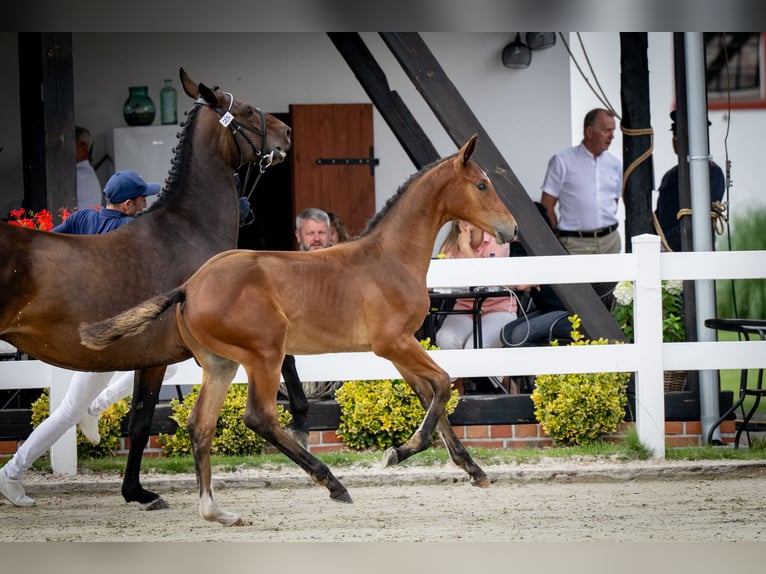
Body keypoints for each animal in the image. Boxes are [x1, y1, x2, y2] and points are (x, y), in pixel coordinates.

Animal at [0, 68, 291, 510]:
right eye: (243, 109)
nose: (286, 132)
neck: (185, 229)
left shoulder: (149, 355)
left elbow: (139, 417)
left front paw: (132, 488)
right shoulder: (165, 356)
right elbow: (141, 421)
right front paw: (138, 492)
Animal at [80, 135, 517, 527]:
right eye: (482, 185)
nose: (511, 229)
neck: (388, 257)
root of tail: (189, 286)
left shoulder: (400, 348)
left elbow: (431, 395)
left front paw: (472, 469)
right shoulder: (392, 343)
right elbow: (442, 385)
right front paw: (399, 451)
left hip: (220, 363)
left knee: (200, 426)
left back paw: (216, 511)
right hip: (265, 355)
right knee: (260, 417)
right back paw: (332, 483)